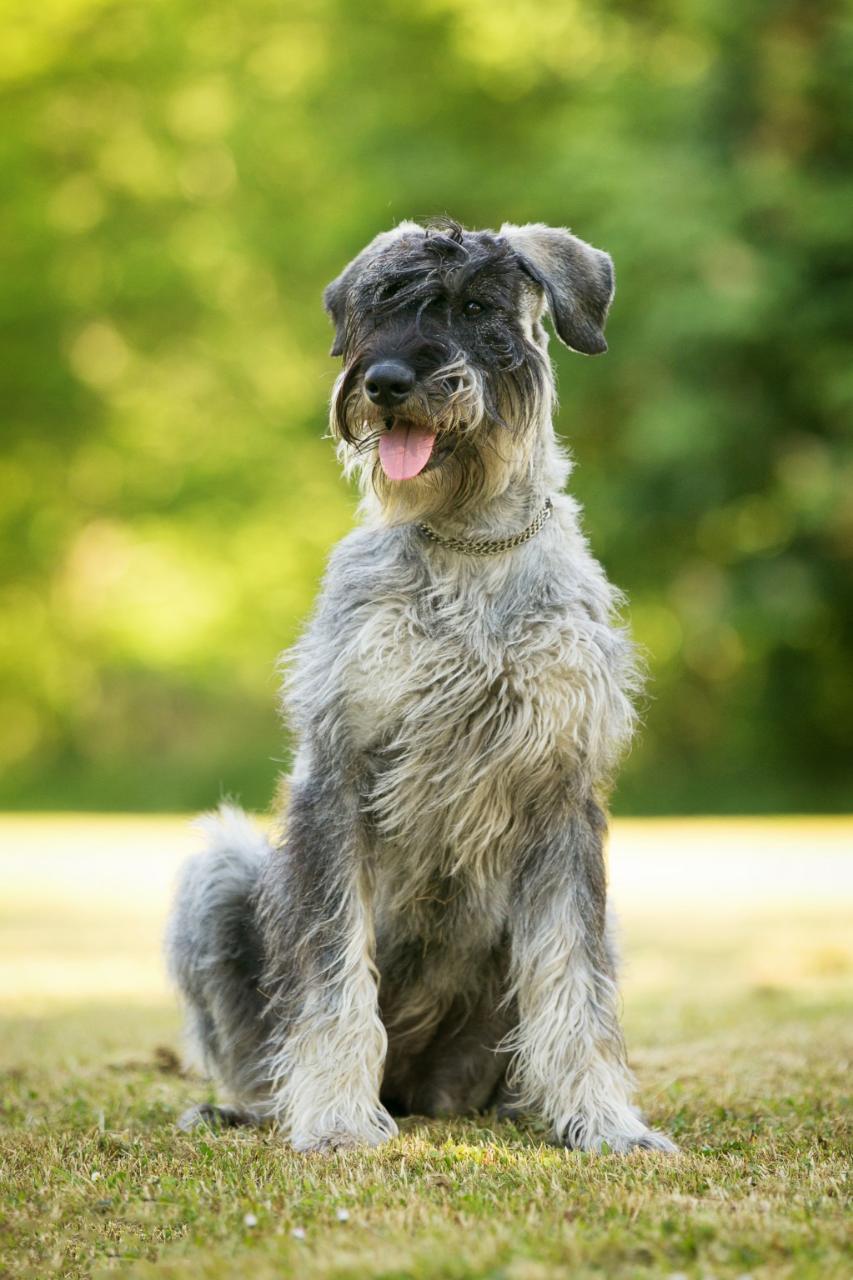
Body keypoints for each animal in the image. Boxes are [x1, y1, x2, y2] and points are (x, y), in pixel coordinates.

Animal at [166, 215, 676, 1157]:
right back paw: (250, 1108)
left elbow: (575, 981)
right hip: (219, 872)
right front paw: (335, 1116)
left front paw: (603, 1120)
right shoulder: (340, 771)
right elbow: (331, 969)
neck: (466, 544)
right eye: (377, 306)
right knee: (261, 1059)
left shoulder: (563, 797)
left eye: (475, 308)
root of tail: (415, 1090)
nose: (387, 382)